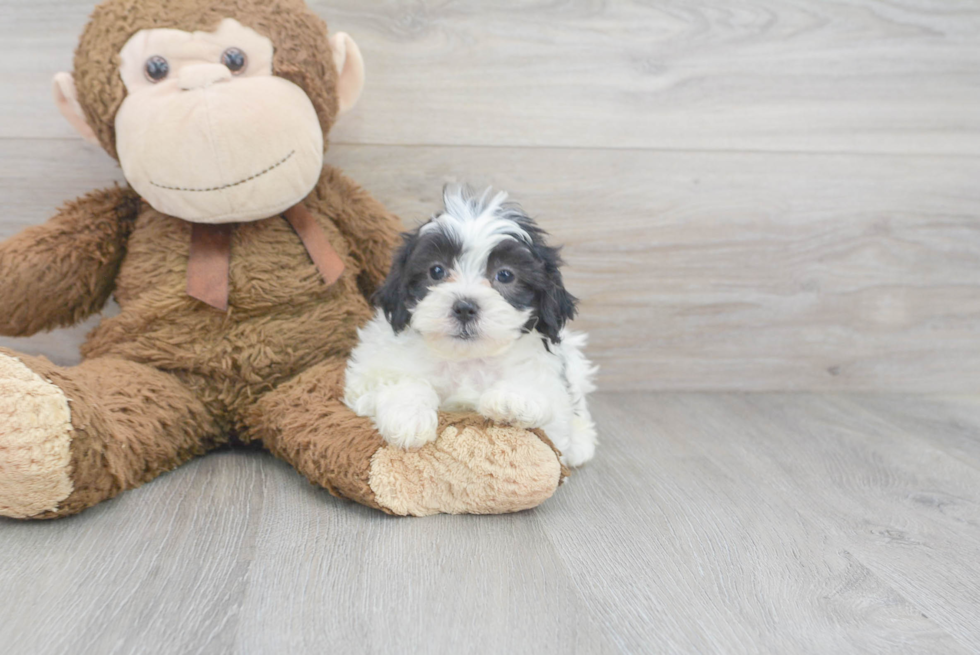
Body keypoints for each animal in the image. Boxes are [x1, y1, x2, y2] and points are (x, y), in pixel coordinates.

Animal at [340, 187, 600, 468]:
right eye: (436, 270)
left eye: (505, 275)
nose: (464, 307)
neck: (466, 358)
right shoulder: (368, 373)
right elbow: (398, 380)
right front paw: (408, 415)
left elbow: (547, 399)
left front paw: (513, 399)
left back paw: (581, 442)